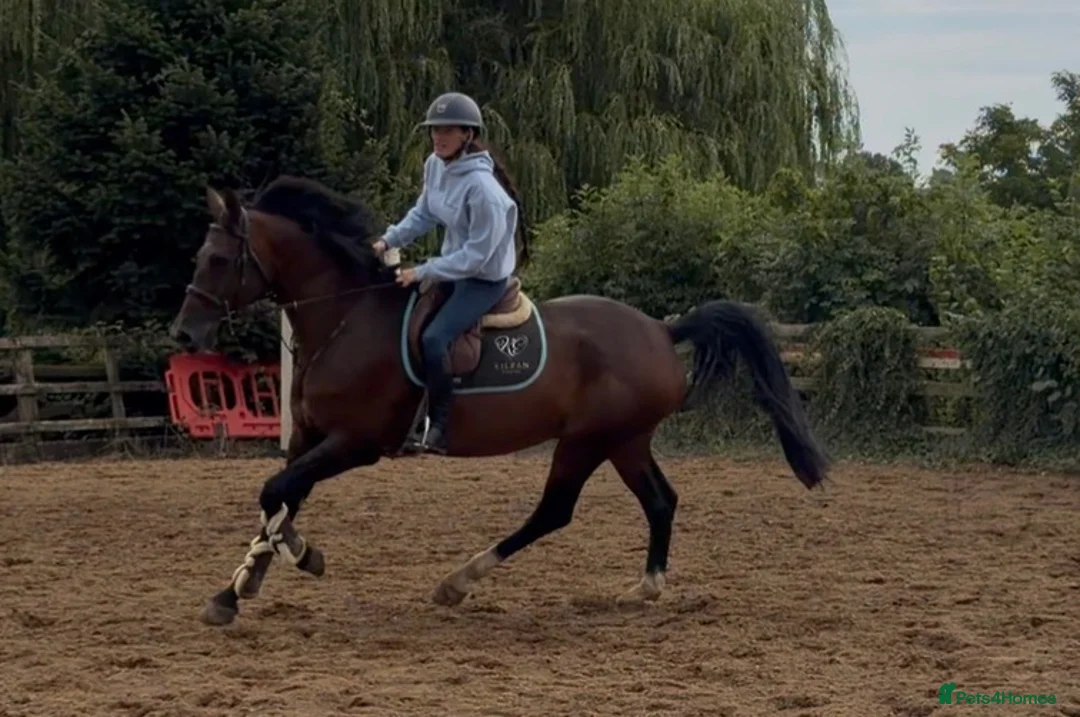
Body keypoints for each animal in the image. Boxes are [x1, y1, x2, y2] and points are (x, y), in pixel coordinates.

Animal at [169, 175, 829, 626]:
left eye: (220, 259)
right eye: (198, 257)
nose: (183, 336)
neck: (346, 316)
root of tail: (662, 331)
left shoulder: (355, 444)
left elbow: (275, 494)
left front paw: (295, 561)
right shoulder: (308, 438)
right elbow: (280, 498)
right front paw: (239, 588)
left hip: (586, 441)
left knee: (554, 511)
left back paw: (459, 581)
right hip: (625, 441)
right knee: (661, 500)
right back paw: (646, 587)